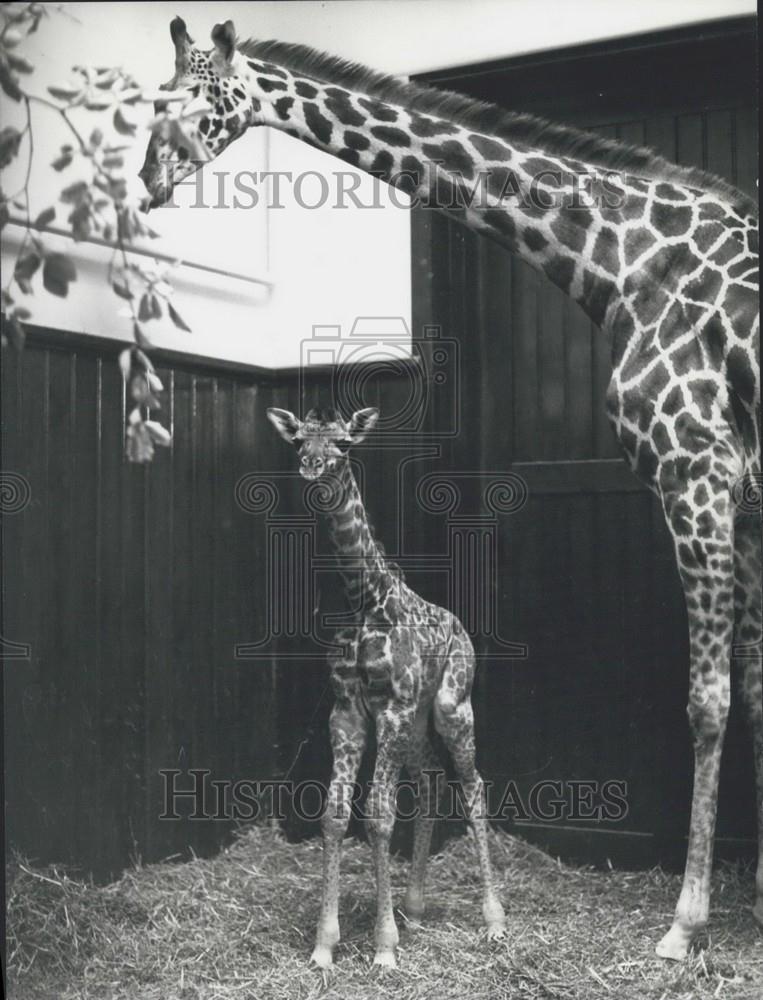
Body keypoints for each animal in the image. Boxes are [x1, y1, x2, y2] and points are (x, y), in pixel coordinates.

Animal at [266, 405, 506, 967]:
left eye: (345, 444)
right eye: (299, 442)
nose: (312, 468)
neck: (362, 597)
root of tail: (462, 628)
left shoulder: (392, 706)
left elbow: (377, 815)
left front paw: (384, 947)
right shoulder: (348, 709)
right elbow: (334, 815)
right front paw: (324, 946)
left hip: (450, 705)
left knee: (473, 786)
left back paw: (494, 920)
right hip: (417, 722)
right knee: (432, 779)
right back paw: (414, 908)